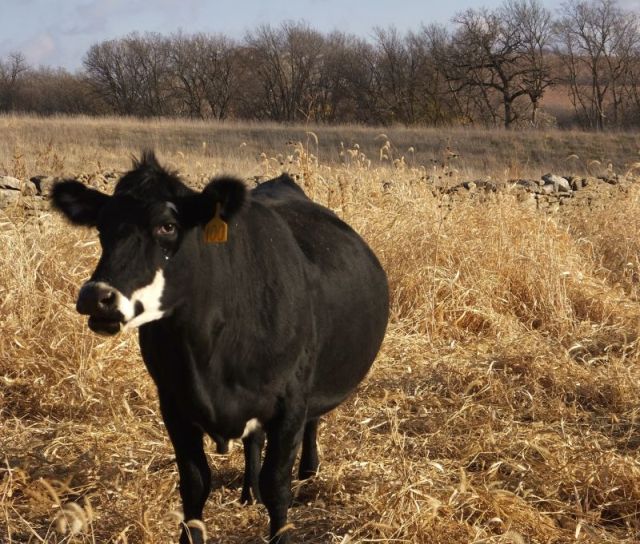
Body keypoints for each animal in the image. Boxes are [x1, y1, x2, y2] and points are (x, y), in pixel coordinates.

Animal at [51, 151, 389, 543]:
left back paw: (308, 472)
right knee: (254, 441)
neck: (207, 355)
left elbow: (277, 485)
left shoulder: (291, 401)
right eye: (102, 228)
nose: (96, 297)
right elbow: (195, 483)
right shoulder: (173, 402)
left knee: (312, 423)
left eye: (167, 226)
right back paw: (248, 491)